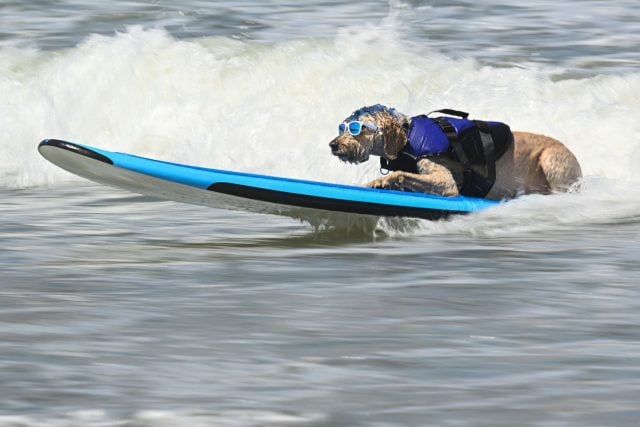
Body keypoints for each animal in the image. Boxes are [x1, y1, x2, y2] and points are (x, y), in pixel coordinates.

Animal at [328, 104, 584, 200]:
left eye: (356, 129)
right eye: (343, 127)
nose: (332, 144)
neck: (407, 137)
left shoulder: (446, 181)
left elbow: (400, 175)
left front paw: (377, 182)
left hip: (550, 159)